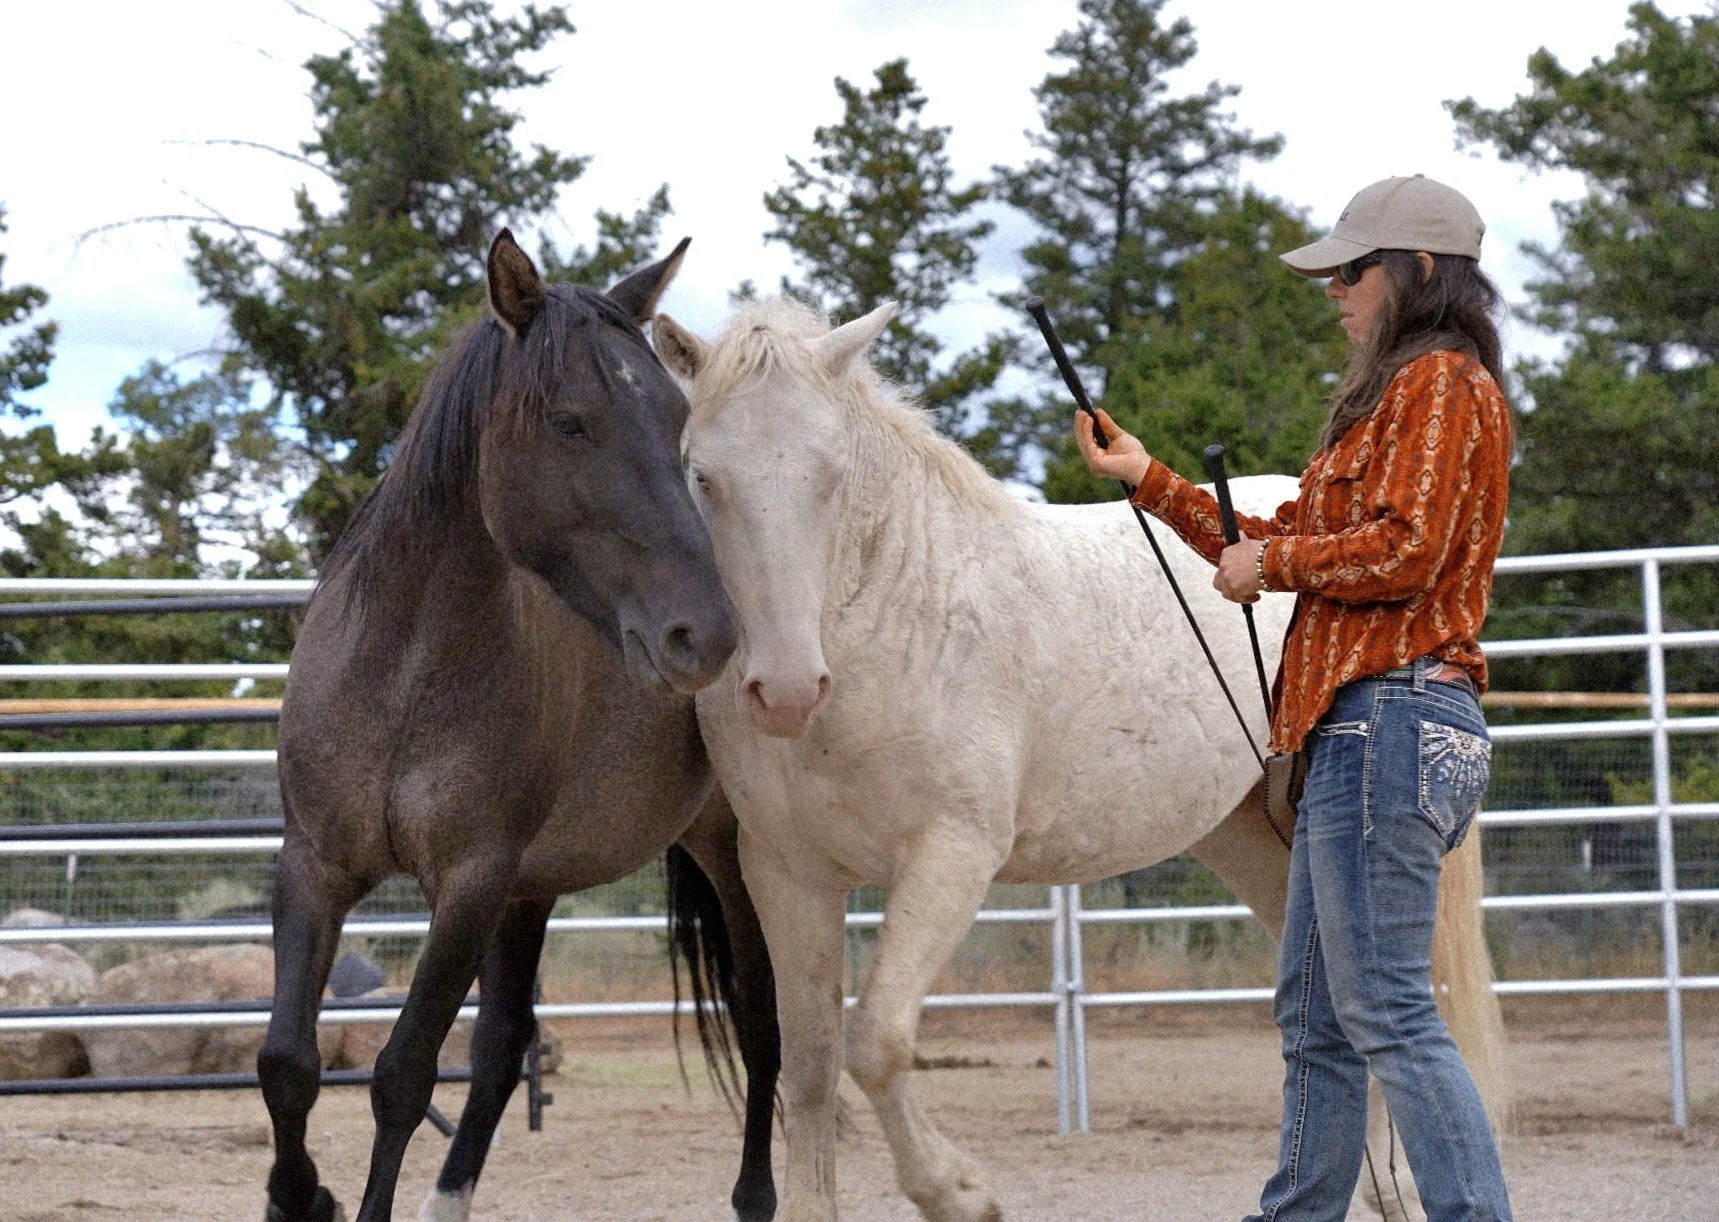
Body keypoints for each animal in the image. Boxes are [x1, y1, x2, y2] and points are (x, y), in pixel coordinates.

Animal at [260, 232, 780, 1222]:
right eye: (570, 423)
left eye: (675, 420)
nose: (706, 635)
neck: (404, 670)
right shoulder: (316, 864)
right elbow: (287, 1066)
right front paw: (301, 1199)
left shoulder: (467, 882)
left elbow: (402, 1076)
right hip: (533, 888)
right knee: (505, 1044)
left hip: (732, 852)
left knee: (761, 1015)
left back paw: (757, 1197)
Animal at [650, 296, 1506, 1222]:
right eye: (701, 477)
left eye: (830, 475)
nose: (783, 690)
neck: (899, 615)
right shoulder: (785, 872)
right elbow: (807, 1063)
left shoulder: (950, 854)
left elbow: (874, 1039)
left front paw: (960, 1194)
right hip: (1265, 841)